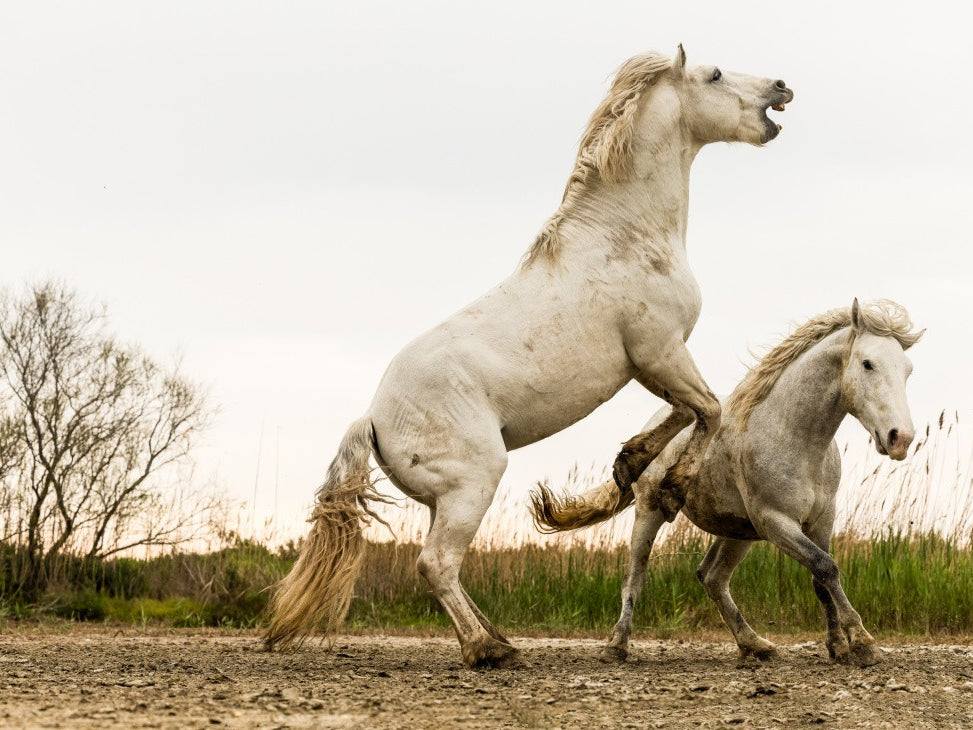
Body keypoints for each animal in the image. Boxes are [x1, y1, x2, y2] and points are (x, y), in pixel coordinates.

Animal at [265, 47, 794, 668]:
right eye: (713, 75)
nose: (781, 88)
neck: (626, 236)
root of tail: (373, 418)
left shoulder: (653, 364)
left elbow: (684, 414)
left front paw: (630, 463)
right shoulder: (659, 351)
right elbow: (708, 410)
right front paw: (670, 484)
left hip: (444, 500)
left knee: (447, 566)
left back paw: (497, 638)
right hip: (474, 483)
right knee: (435, 565)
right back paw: (487, 651)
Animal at [531, 299, 923, 667]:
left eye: (907, 370)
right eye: (868, 364)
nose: (900, 438)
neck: (793, 436)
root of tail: (657, 421)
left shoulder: (821, 521)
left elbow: (821, 575)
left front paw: (838, 646)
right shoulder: (775, 522)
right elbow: (825, 567)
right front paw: (862, 642)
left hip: (737, 531)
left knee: (712, 576)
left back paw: (755, 645)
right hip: (651, 511)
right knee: (635, 577)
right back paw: (617, 646)